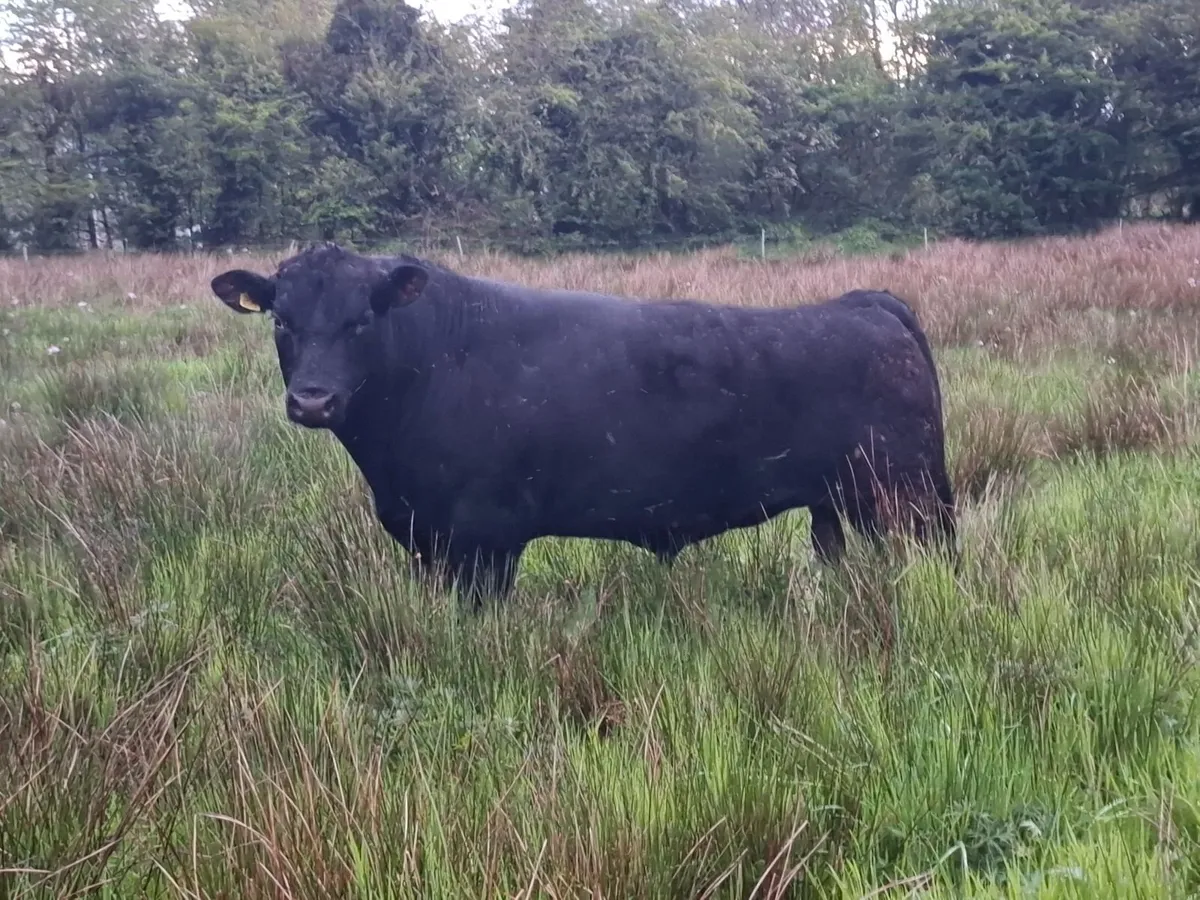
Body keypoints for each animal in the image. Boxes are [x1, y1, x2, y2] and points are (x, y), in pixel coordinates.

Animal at [210, 242, 956, 607]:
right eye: (281, 320)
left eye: (362, 320)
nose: (313, 401)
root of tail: (864, 302)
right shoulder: (429, 541)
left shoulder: (483, 541)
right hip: (838, 505)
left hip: (907, 497)